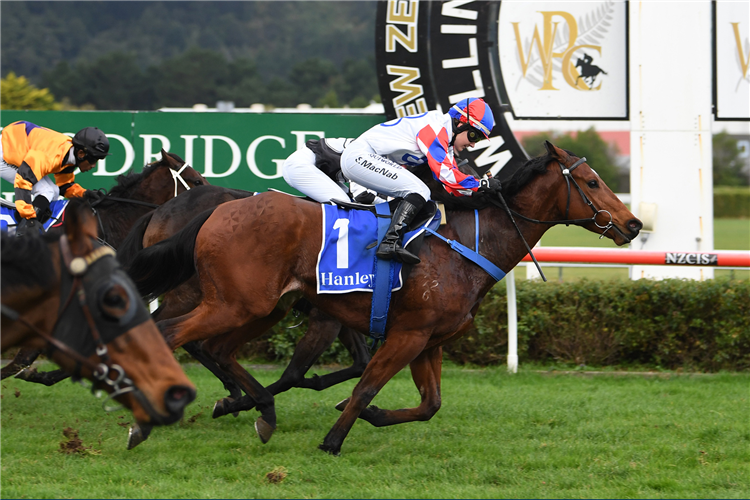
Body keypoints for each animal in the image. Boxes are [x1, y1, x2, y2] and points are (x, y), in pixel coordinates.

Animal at [129, 143, 648, 456]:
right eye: (593, 182)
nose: (633, 224)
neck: (465, 245)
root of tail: (215, 211)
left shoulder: (430, 340)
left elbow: (429, 404)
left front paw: (369, 416)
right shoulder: (404, 333)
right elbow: (363, 384)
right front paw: (333, 440)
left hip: (261, 306)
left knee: (214, 349)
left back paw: (257, 410)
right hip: (231, 304)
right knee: (170, 334)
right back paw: (146, 420)